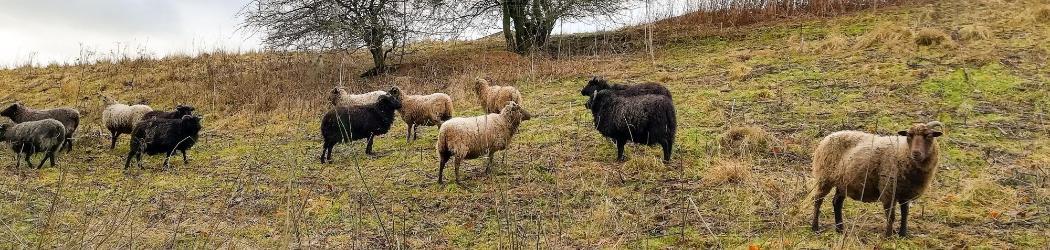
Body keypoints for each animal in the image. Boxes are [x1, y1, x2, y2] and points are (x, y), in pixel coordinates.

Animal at [806, 121, 949, 237]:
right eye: (909, 135)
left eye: (929, 136)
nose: (916, 153)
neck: (903, 152)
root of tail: (828, 137)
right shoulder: (888, 189)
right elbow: (890, 215)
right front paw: (888, 236)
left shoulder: (905, 193)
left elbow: (905, 214)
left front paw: (903, 234)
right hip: (824, 178)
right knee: (818, 200)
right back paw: (815, 227)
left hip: (842, 182)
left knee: (837, 202)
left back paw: (840, 229)